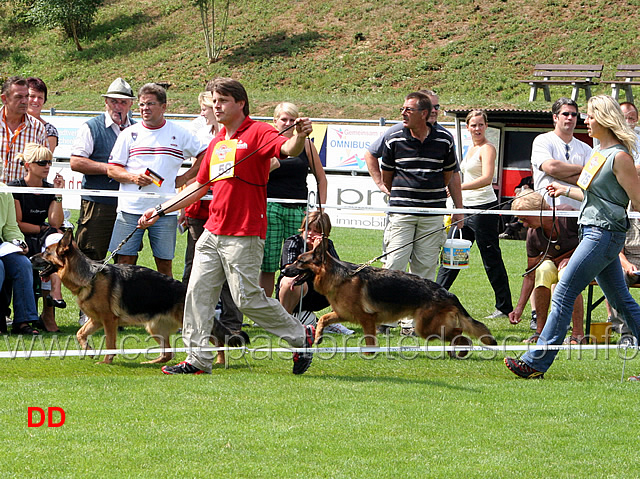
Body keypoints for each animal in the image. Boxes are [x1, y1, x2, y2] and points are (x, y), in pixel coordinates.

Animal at [31, 231, 249, 366]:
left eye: (45, 252)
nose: (29, 256)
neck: (89, 277)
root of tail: (186, 290)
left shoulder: (108, 321)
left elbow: (110, 344)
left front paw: (107, 361)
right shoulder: (96, 320)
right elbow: (80, 333)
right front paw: (89, 349)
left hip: (187, 323)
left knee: (216, 340)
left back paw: (219, 361)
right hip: (154, 328)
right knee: (167, 353)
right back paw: (152, 362)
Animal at [282, 238, 498, 354]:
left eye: (300, 261)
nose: (283, 270)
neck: (341, 277)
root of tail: (447, 292)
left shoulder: (367, 319)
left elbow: (370, 340)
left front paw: (370, 355)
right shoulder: (344, 314)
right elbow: (323, 319)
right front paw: (318, 336)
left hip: (426, 328)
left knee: (461, 333)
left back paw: (462, 350)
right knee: (460, 332)